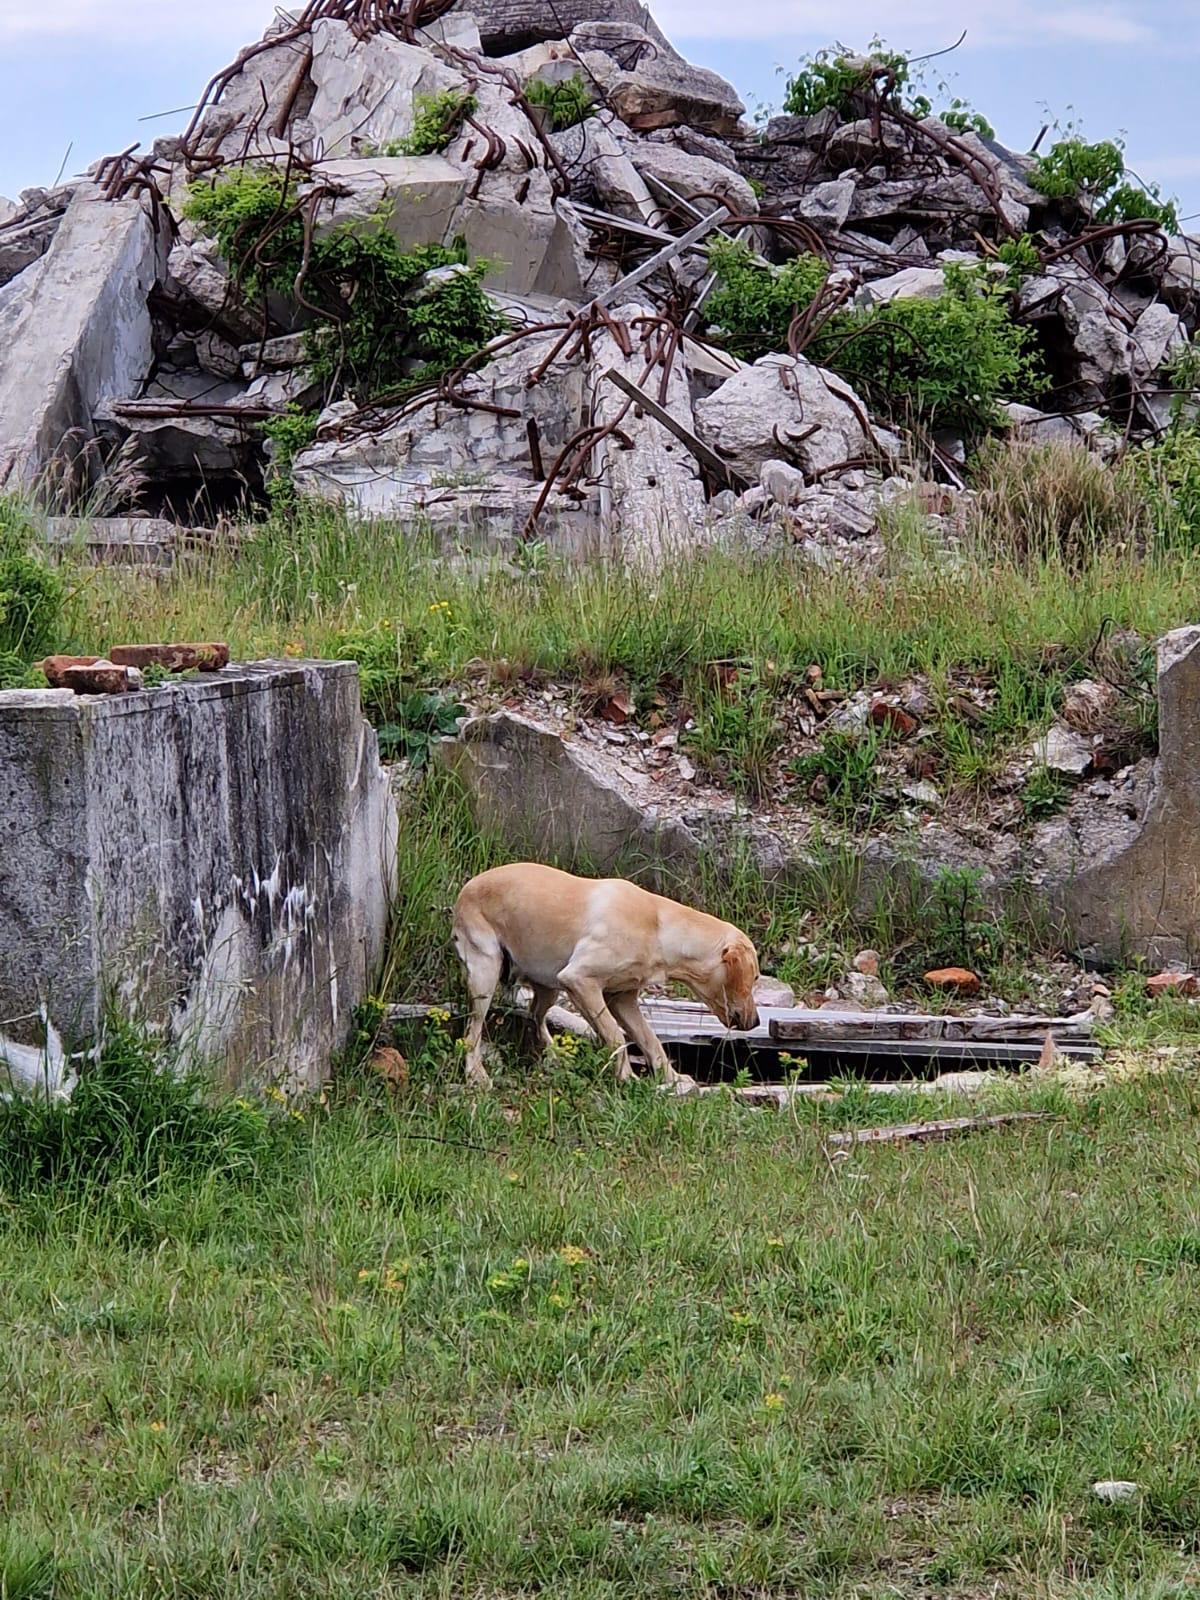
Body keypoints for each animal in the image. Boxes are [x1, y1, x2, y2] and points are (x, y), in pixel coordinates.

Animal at [452, 863, 761, 1090]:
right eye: (755, 977)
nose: (757, 1021)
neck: (660, 929)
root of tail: (466, 888)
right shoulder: (580, 981)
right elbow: (616, 1036)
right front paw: (626, 1077)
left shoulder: (621, 1000)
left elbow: (651, 1041)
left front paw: (671, 1078)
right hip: (485, 974)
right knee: (473, 1032)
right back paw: (476, 1074)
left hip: (548, 986)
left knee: (535, 1017)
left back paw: (554, 1055)